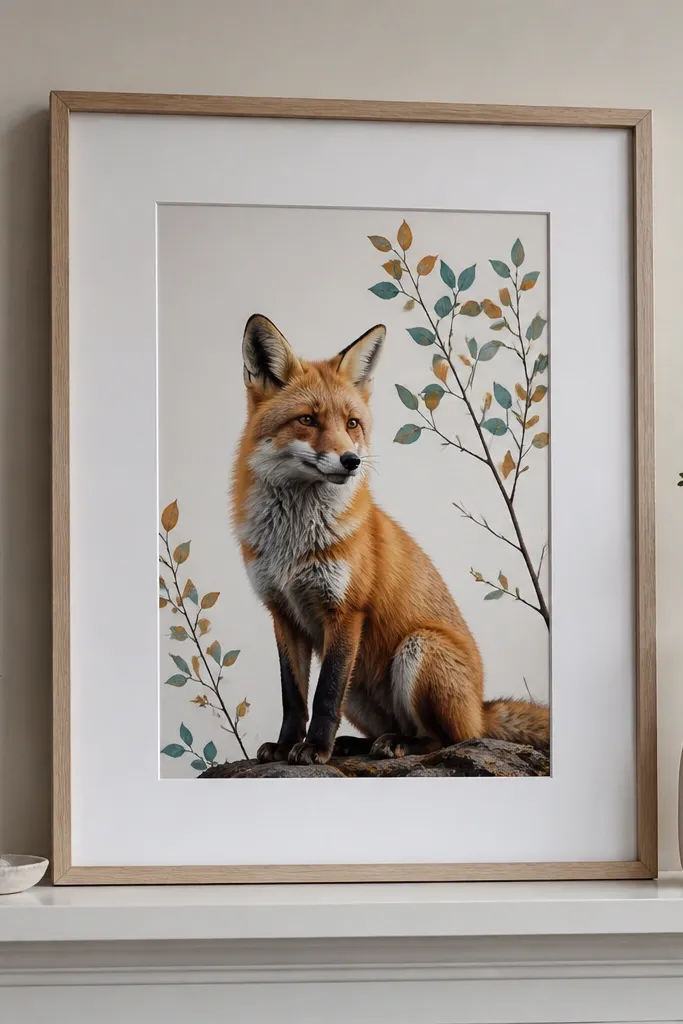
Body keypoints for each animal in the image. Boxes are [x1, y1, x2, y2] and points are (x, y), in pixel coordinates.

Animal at [231, 313, 550, 766]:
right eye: (308, 420)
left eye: (352, 423)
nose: (351, 460)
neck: (292, 544)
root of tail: (480, 708)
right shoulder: (282, 613)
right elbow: (293, 697)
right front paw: (284, 746)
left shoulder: (346, 611)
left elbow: (324, 695)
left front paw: (314, 748)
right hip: (361, 692)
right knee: (391, 726)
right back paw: (356, 744)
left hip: (419, 649)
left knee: (445, 739)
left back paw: (399, 744)